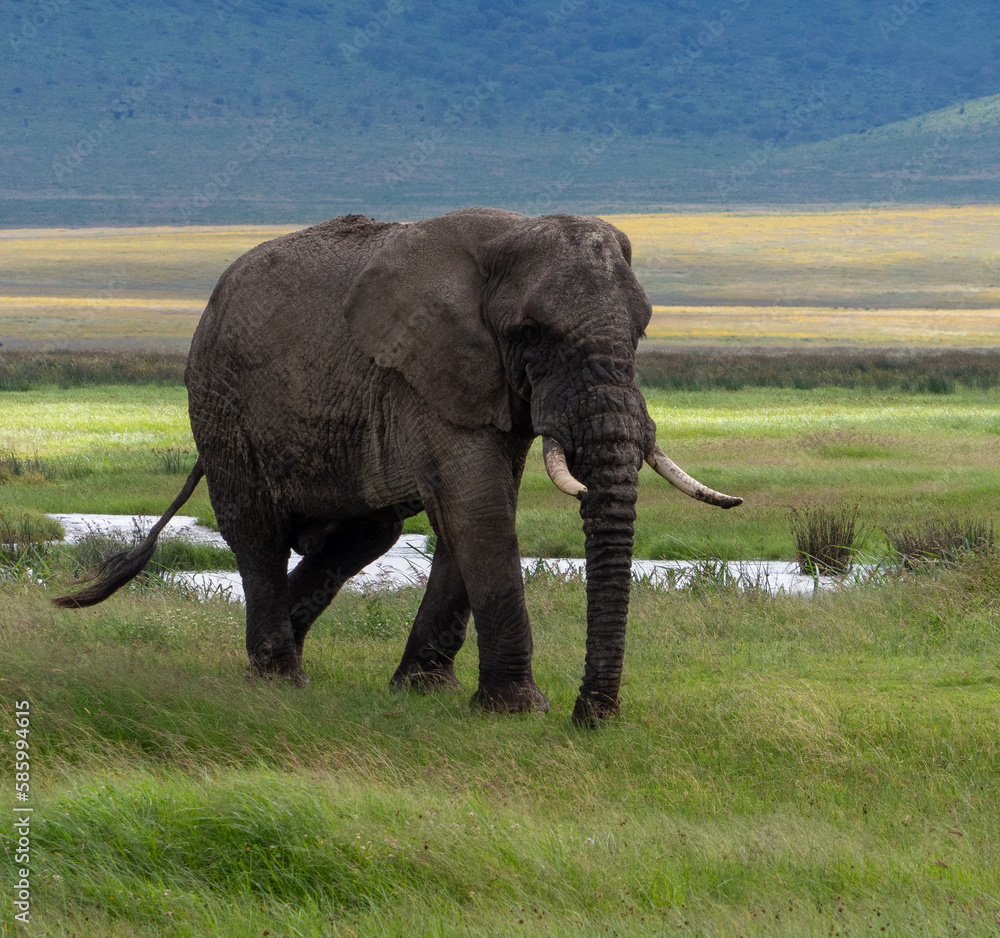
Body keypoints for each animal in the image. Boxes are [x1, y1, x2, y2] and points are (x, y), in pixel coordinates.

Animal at [54, 208, 744, 724]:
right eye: (531, 332)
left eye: (643, 331)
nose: (590, 718)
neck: (510, 236)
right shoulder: (426, 369)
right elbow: (479, 505)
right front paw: (517, 711)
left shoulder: (490, 384)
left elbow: (478, 508)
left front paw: (422, 691)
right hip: (219, 399)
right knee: (256, 531)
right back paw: (281, 679)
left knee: (363, 536)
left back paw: (262, 663)